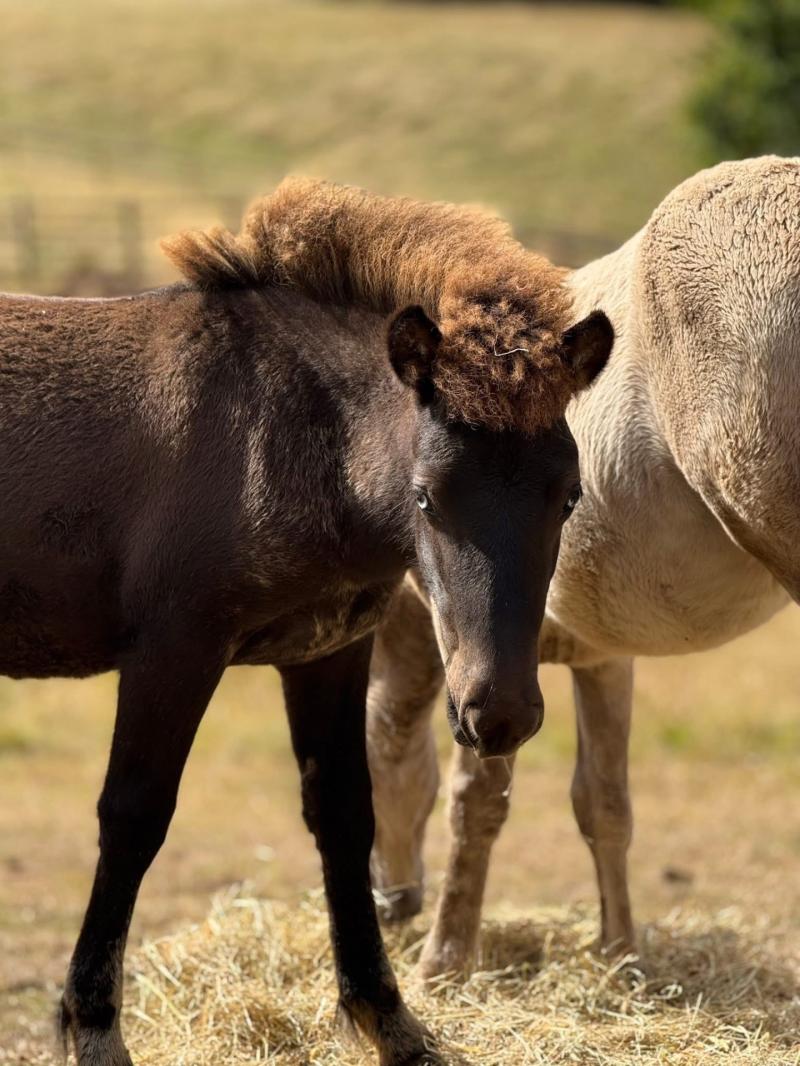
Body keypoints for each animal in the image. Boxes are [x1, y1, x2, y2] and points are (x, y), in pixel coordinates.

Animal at [0, 176, 613, 1065]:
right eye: (427, 496)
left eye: (568, 497)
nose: (496, 715)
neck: (277, 432)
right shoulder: (173, 651)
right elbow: (133, 815)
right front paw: (94, 1028)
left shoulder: (328, 650)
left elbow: (344, 814)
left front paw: (392, 1022)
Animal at [367, 155, 800, 979]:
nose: (391, 903)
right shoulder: (601, 659)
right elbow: (604, 804)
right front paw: (621, 955)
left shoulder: (492, 669)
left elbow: (476, 798)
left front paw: (445, 958)